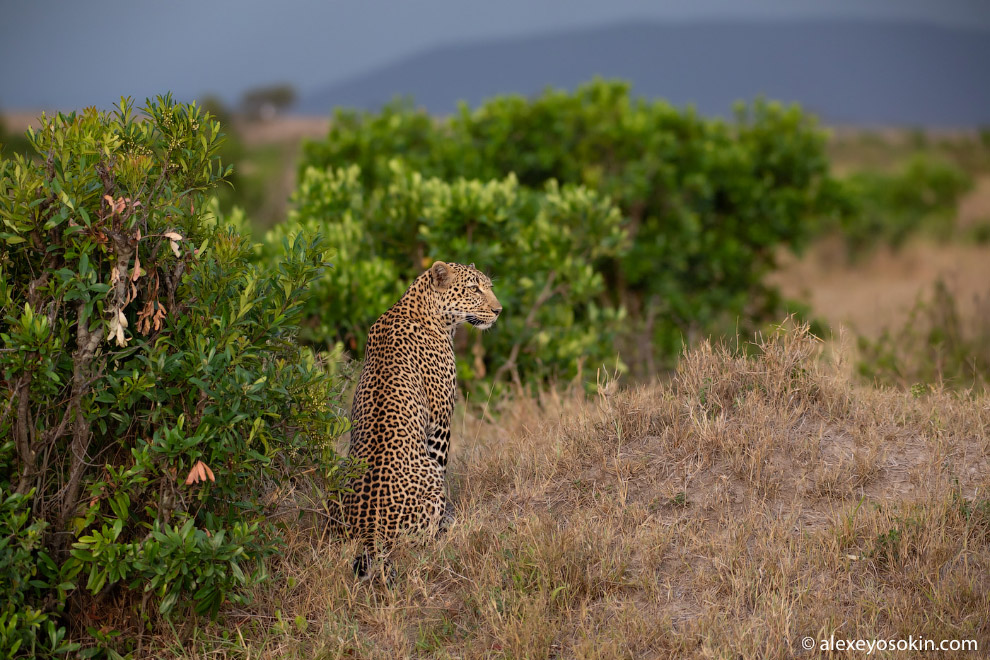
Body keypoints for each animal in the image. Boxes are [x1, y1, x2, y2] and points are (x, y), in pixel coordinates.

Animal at [334, 260, 504, 580]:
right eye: (474, 289)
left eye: (488, 286)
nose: (499, 310)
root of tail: (369, 531)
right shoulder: (440, 420)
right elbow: (442, 462)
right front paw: (447, 519)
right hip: (429, 481)